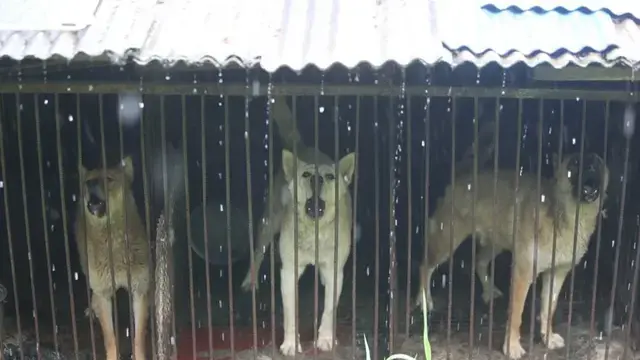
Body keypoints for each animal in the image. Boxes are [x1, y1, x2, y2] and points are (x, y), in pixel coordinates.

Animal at [75, 157, 149, 360]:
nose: (90, 184)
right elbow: (110, 338)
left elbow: (139, 337)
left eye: (109, 179)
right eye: (87, 182)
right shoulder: (103, 292)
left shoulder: (139, 290)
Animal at [418, 148, 608, 358]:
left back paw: (488, 290)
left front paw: (547, 338)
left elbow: (548, 309)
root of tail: (460, 176)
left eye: (597, 162)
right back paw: (424, 300)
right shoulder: (522, 274)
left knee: (479, 262)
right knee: (425, 266)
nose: (590, 165)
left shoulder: (558, 273)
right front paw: (512, 347)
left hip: (494, 243)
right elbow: (516, 314)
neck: (565, 214)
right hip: (447, 242)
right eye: (575, 162)